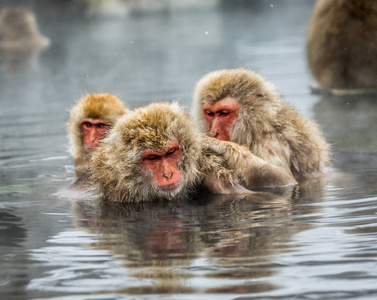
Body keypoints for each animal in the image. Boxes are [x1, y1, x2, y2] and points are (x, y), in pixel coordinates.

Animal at [192, 67, 330, 188]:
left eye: (223, 113)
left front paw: (218, 146)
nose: (214, 133)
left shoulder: (270, 140)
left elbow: (282, 177)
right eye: (210, 113)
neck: (255, 127)